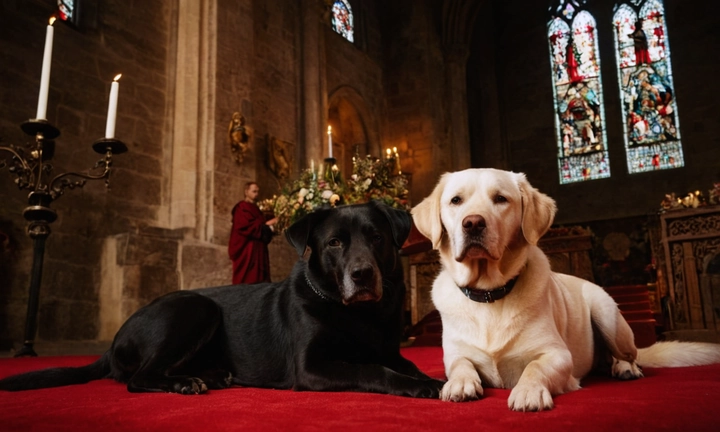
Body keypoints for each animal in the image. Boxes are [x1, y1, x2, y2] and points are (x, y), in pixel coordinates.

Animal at [0, 202, 444, 398]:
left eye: (376, 237)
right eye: (334, 243)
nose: (362, 275)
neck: (355, 312)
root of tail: (113, 343)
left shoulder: (391, 350)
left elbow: (406, 364)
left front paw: (440, 379)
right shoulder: (312, 368)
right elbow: (374, 370)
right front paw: (421, 387)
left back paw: (211, 376)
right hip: (196, 308)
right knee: (137, 379)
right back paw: (185, 383)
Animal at [410, 169, 720, 412]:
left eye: (500, 199)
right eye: (456, 200)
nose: (473, 223)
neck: (489, 293)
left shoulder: (558, 355)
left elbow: (534, 367)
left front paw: (528, 391)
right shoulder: (453, 355)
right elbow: (461, 364)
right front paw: (459, 383)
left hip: (607, 314)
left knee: (630, 355)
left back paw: (626, 368)